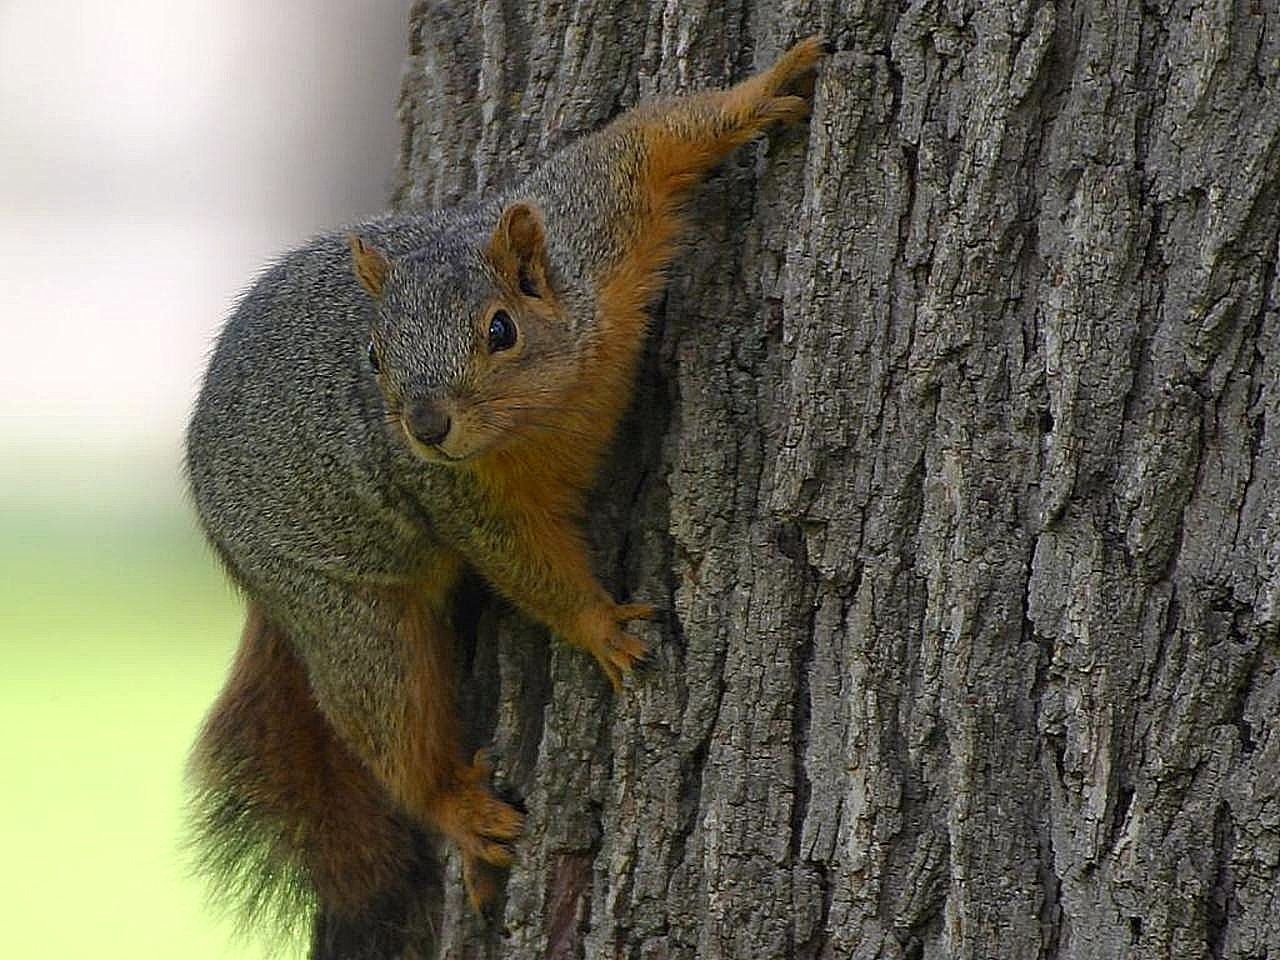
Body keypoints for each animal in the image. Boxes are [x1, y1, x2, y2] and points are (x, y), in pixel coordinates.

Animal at [185, 35, 824, 947]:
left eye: (500, 328)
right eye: (373, 354)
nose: (424, 425)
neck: (548, 408)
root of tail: (237, 563)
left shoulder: (591, 228)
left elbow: (645, 142)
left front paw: (766, 89)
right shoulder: (460, 497)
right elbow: (524, 566)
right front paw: (600, 626)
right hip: (343, 611)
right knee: (388, 723)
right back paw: (460, 812)